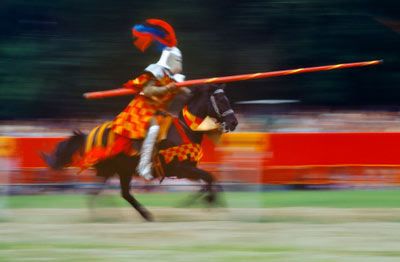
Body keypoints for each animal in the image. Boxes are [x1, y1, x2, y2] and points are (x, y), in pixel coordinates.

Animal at [41, 84, 238, 221]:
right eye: (222, 101)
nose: (234, 122)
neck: (186, 130)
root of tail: (87, 135)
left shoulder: (187, 170)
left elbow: (209, 180)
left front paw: (208, 202)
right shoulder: (181, 168)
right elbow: (210, 177)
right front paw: (210, 200)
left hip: (119, 170)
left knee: (116, 193)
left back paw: (138, 215)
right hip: (115, 169)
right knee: (105, 194)